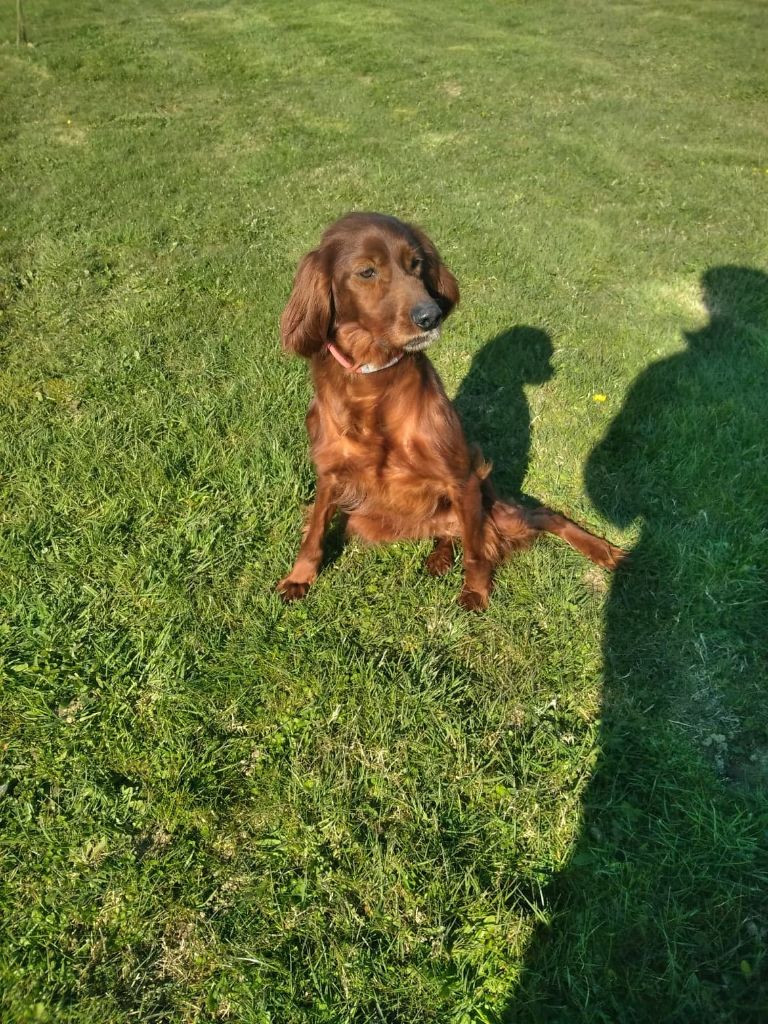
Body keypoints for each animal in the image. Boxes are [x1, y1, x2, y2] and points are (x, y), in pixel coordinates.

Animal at [276, 209, 626, 606]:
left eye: (416, 264)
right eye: (367, 272)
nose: (431, 315)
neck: (373, 381)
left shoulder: (463, 480)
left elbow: (475, 550)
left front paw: (475, 591)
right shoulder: (332, 473)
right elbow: (315, 529)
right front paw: (299, 577)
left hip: (491, 508)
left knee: (540, 516)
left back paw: (607, 552)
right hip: (366, 519)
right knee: (450, 533)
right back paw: (439, 558)